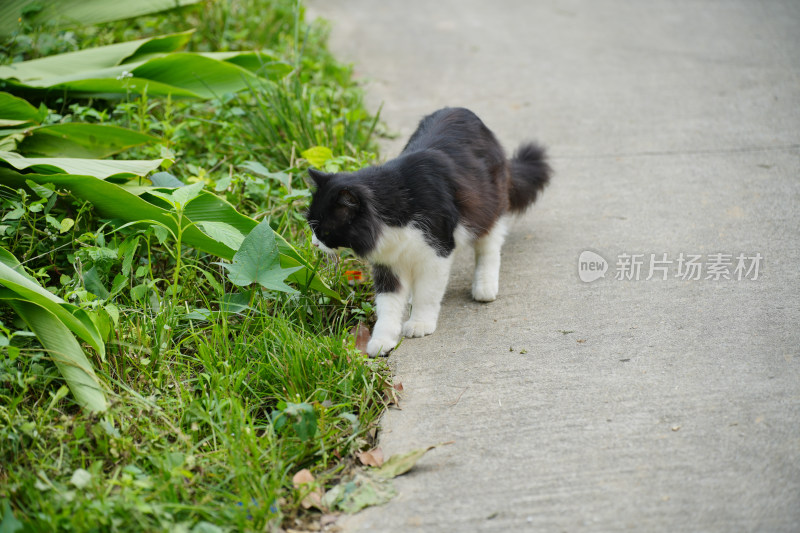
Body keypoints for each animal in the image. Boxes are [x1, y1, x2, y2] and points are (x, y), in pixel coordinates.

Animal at [304, 107, 548, 358]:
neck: (396, 207)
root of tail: (462, 110)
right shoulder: (388, 262)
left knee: (489, 244)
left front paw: (419, 323)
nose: (313, 244)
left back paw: (484, 286)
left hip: (487, 204)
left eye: (323, 231)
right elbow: (388, 306)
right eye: (311, 226)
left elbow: (428, 293)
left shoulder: (437, 251)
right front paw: (382, 340)